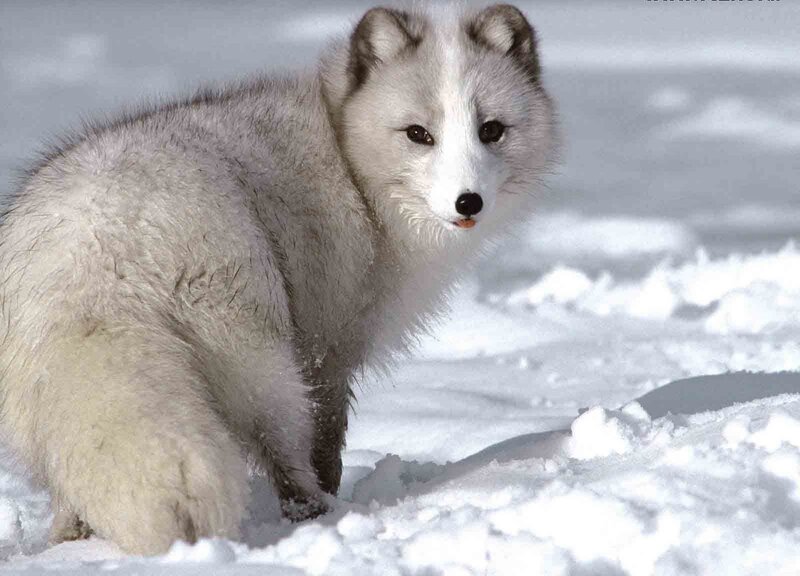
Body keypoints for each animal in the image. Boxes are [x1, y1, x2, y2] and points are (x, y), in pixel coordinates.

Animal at [0, 3, 556, 554]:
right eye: (418, 134)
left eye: (491, 130)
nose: (468, 202)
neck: (348, 159)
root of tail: (97, 250)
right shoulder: (329, 347)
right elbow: (327, 438)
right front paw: (331, 492)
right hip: (259, 361)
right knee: (284, 453)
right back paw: (317, 514)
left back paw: (68, 543)